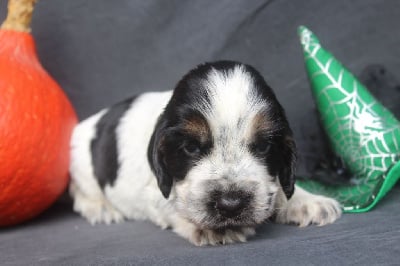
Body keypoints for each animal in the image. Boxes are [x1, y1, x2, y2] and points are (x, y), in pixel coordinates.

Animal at [69, 60, 340, 245]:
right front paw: (215, 228)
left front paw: (307, 200)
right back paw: (100, 208)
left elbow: (280, 187)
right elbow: (177, 203)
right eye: (190, 147)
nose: (231, 204)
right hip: (81, 165)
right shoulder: (154, 190)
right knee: (78, 192)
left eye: (264, 146)